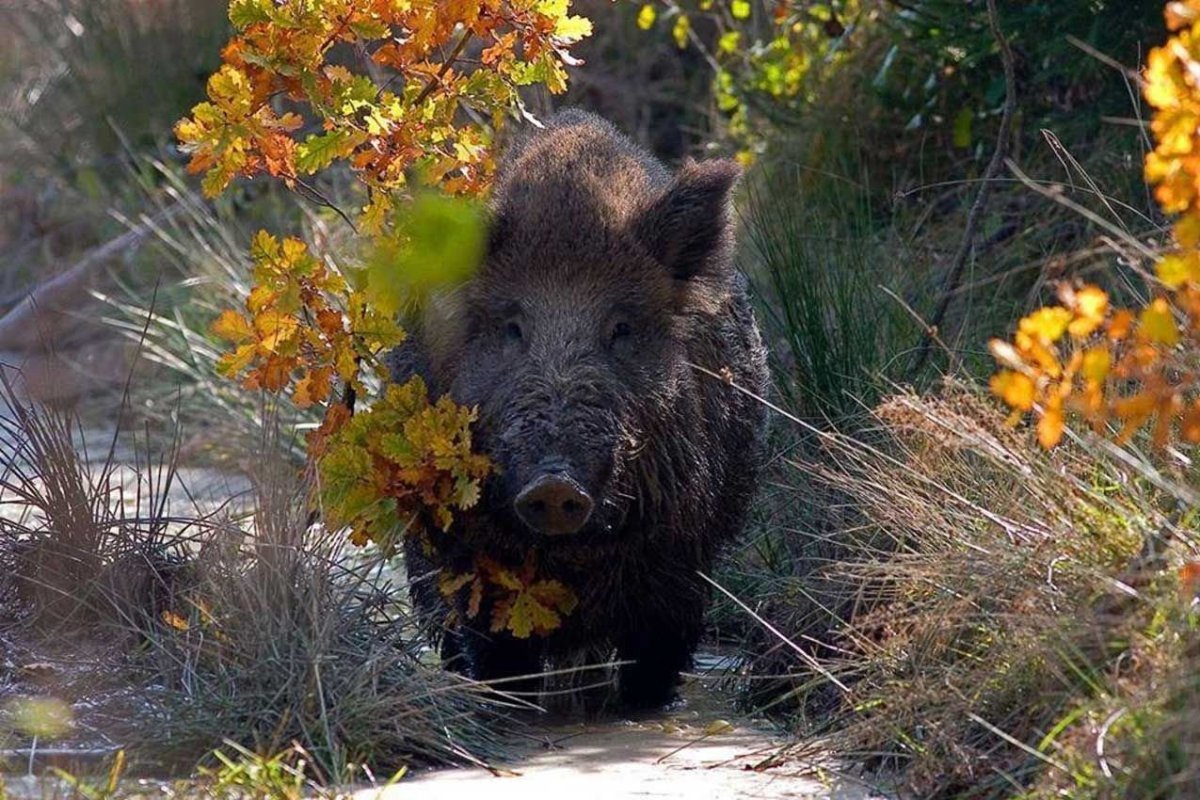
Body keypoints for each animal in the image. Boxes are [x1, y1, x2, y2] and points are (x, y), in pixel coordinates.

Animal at [387, 109, 769, 709]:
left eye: (621, 328)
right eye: (512, 328)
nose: (554, 482)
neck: (570, 560)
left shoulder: (682, 555)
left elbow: (654, 662)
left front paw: (642, 711)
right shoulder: (471, 558)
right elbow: (497, 655)